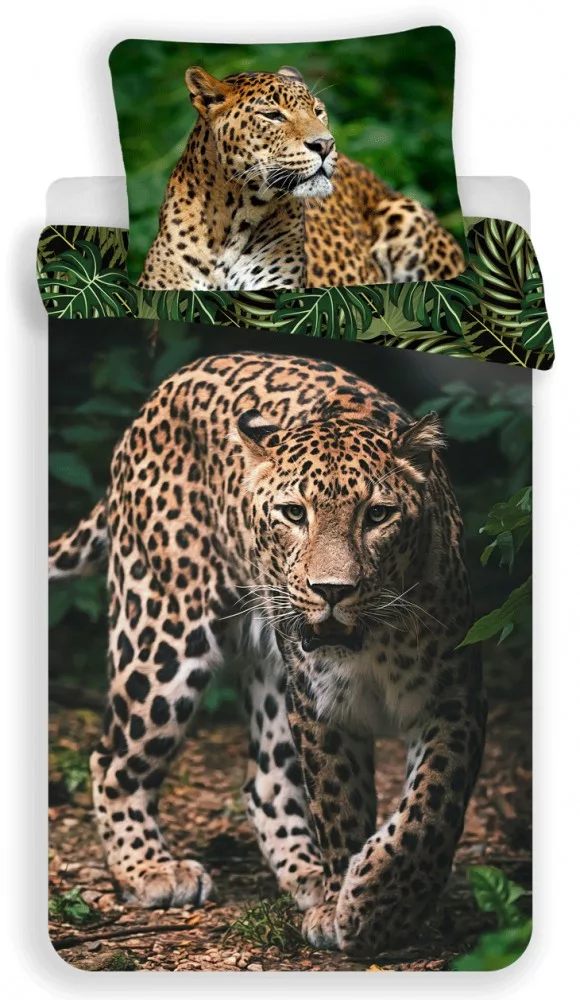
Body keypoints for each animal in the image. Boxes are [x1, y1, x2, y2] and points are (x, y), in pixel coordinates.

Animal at [49, 351, 486, 955]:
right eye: (293, 513)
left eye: (378, 515)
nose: (332, 590)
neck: (371, 642)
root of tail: (162, 391)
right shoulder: (319, 708)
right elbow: (340, 807)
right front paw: (352, 905)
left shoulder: (454, 698)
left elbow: (430, 809)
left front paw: (378, 902)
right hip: (162, 633)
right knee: (112, 758)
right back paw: (151, 870)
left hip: (269, 673)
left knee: (265, 783)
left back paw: (307, 876)